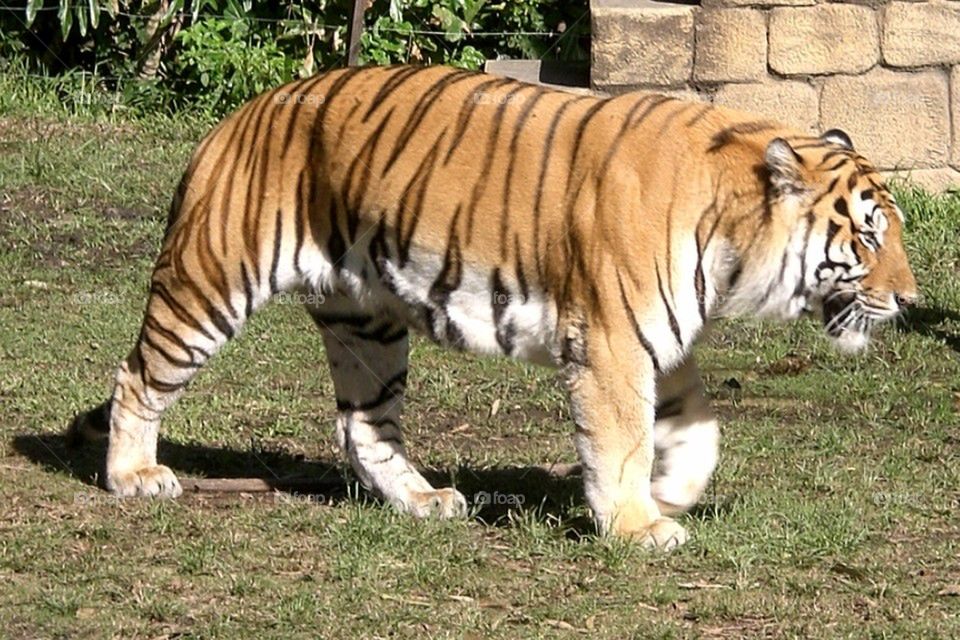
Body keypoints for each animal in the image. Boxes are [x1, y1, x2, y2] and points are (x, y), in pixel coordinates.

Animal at [68, 65, 918, 550]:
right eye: (868, 235)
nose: (910, 300)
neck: (731, 238)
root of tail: (239, 115)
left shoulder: (660, 340)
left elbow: (697, 430)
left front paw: (672, 494)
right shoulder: (612, 340)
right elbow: (623, 440)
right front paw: (637, 527)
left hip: (368, 323)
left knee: (362, 426)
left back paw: (424, 502)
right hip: (212, 281)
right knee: (135, 376)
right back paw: (133, 477)